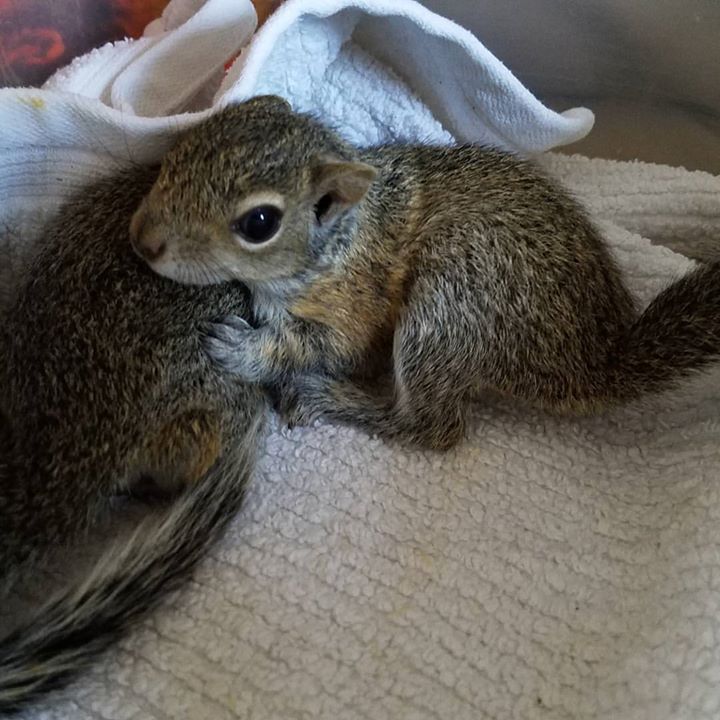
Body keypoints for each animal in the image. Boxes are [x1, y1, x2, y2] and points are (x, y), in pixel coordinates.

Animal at [131, 96, 720, 452]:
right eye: (180, 151)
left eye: (258, 223)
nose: (143, 241)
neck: (340, 242)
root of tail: (588, 361)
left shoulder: (354, 307)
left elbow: (319, 345)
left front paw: (244, 349)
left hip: (448, 303)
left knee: (431, 427)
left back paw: (327, 396)